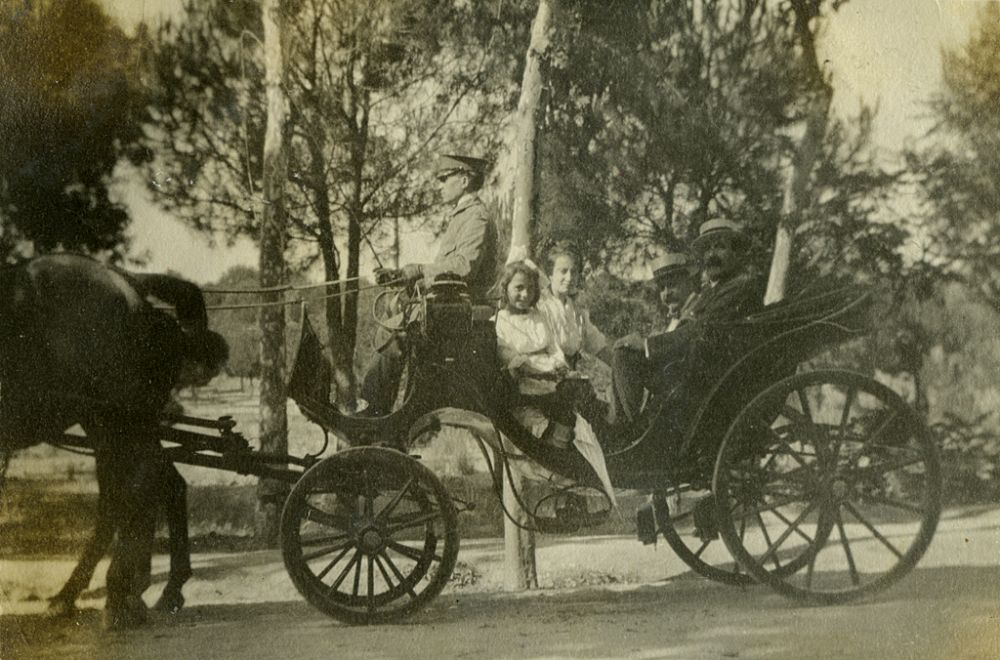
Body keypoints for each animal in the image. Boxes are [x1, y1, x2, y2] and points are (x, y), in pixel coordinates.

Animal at [1, 254, 225, 628]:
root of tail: (128, 280)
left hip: (112, 418)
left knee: (136, 486)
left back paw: (120, 595)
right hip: (116, 425)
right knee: (143, 488)